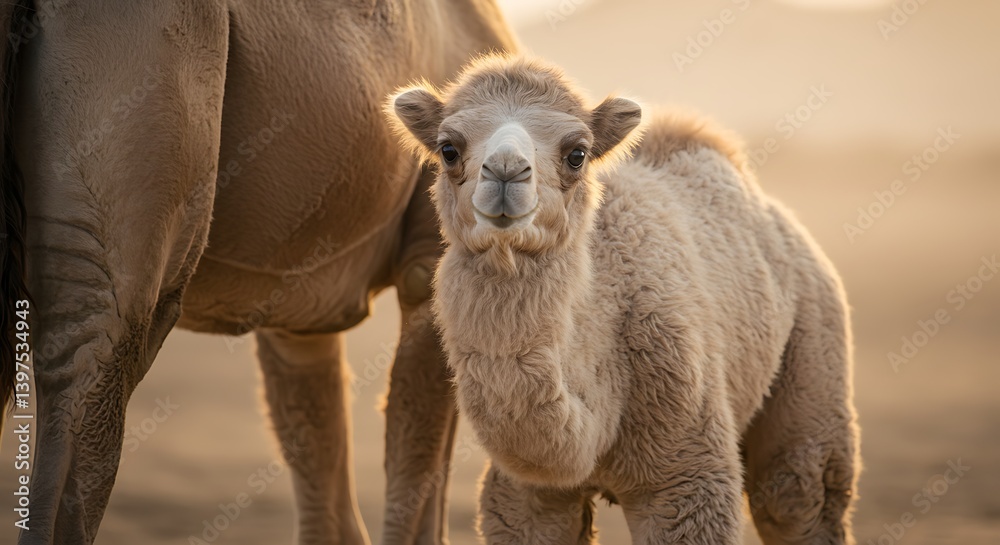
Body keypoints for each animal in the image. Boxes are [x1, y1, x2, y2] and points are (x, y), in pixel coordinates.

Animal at [388, 55, 860, 544]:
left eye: (577, 153)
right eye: (448, 149)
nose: (505, 171)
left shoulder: (689, 472)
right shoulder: (524, 496)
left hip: (814, 337)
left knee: (796, 493)